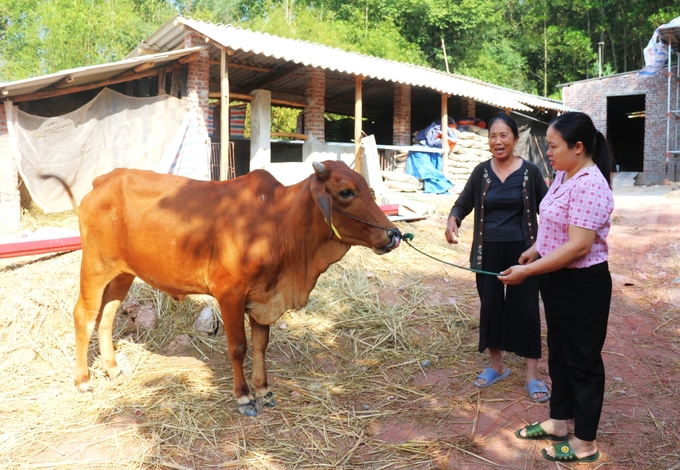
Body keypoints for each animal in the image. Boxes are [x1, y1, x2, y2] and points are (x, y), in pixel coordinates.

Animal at [50, 161, 402, 414]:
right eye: (346, 192)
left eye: (369, 189)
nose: (393, 234)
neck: (277, 221)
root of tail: (102, 181)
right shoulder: (230, 294)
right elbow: (238, 347)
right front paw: (244, 397)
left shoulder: (264, 298)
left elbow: (261, 346)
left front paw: (264, 390)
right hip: (95, 266)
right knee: (84, 315)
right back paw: (83, 380)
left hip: (123, 273)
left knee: (107, 316)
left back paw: (112, 368)